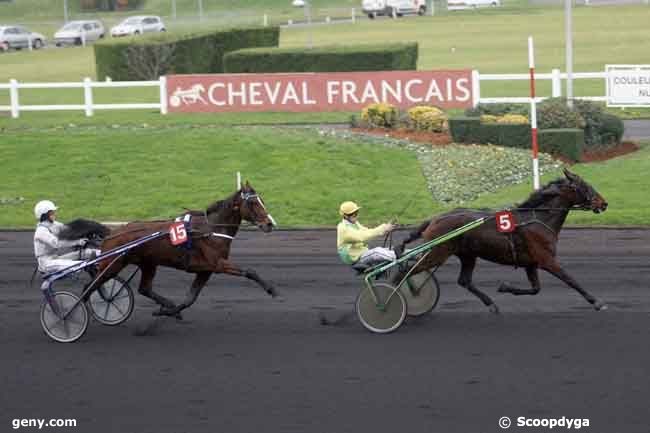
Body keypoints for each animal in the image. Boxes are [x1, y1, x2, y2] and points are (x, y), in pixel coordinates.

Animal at [91, 181, 274, 318]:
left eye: (262, 201)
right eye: (253, 203)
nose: (269, 224)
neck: (211, 229)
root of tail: (111, 233)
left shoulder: (206, 269)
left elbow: (190, 299)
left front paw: (169, 311)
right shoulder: (218, 264)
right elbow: (249, 271)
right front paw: (271, 289)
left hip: (148, 264)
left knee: (144, 288)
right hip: (112, 265)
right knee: (92, 285)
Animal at [394, 167, 608, 312]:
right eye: (585, 187)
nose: (604, 203)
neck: (538, 219)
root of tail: (435, 218)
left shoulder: (531, 263)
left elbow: (536, 289)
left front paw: (505, 287)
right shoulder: (546, 260)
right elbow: (570, 279)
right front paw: (596, 302)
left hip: (467, 255)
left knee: (464, 281)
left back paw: (491, 304)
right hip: (436, 253)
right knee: (405, 271)